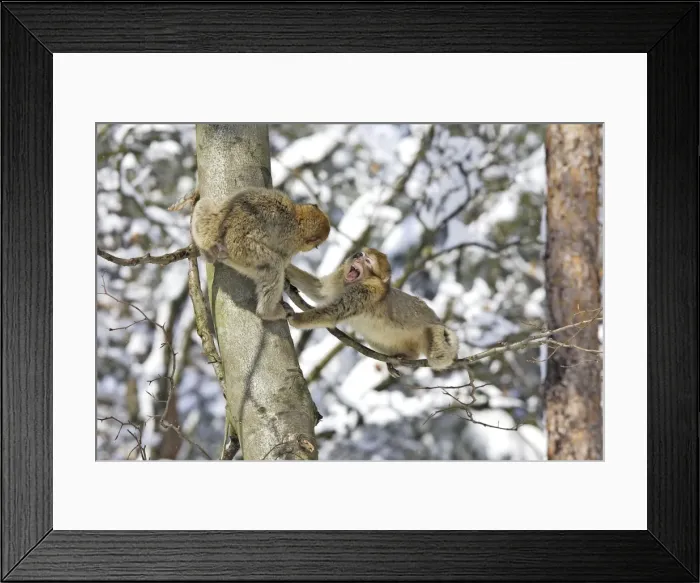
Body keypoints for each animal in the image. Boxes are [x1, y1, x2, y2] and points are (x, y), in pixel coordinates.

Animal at [190, 186, 331, 321]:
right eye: (316, 246)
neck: (297, 217)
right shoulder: (290, 244)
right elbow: (283, 260)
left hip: (211, 226)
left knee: (203, 203)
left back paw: (206, 253)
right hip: (240, 251)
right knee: (274, 265)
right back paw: (268, 313)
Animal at [285, 247, 459, 370]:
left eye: (367, 261)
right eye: (361, 254)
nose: (357, 255)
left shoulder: (367, 292)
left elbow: (332, 313)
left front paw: (295, 318)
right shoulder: (338, 279)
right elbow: (318, 290)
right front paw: (285, 267)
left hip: (436, 336)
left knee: (440, 351)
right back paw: (406, 356)